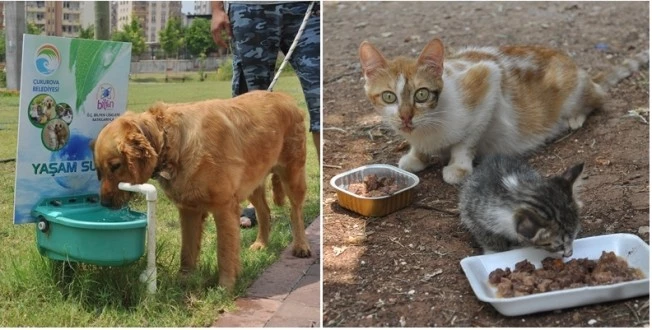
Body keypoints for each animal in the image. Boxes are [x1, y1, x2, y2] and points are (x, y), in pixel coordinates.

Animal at [90, 91, 312, 292]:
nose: (104, 203)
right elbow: (187, 251)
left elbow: (224, 251)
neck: (171, 141)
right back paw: (261, 244)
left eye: (116, 166)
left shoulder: (224, 207)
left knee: (296, 212)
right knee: (265, 212)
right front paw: (184, 280)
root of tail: (285, 97)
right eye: (98, 171)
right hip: (253, 181)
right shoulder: (189, 209)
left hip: (293, 174)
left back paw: (301, 246)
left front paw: (225, 287)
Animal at [362, 38, 648, 186]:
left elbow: (465, 142)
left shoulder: (488, 79)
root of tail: (579, 69)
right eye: (389, 96)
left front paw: (458, 168)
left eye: (421, 94)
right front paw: (416, 156)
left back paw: (575, 117)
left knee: (599, 98)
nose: (405, 117)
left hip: (574, 91)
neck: (428, 125)